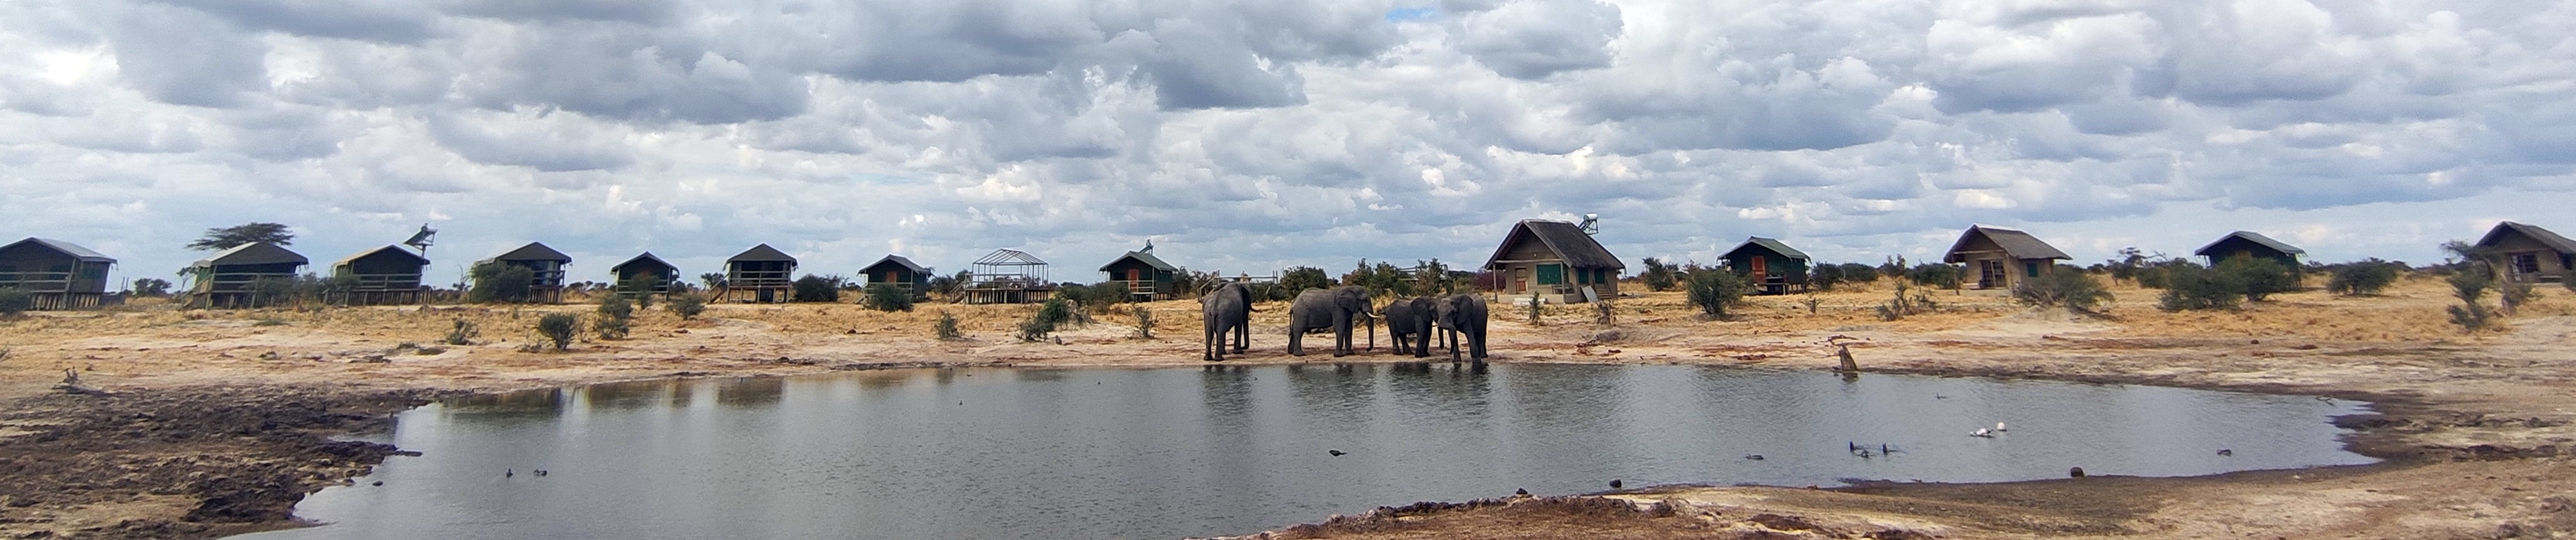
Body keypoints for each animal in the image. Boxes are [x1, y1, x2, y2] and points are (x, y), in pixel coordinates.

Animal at [1201, 282, 1254, 361]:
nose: (1244, 347)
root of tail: (1214, 308)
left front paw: (1225, 353)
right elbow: (1238, 326)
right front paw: (1239, 352)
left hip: (1208, 315)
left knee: (1210, 334)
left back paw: (1208, 359)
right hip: (1220, 314)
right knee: (1220, 332)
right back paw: (1219, 359)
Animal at [1287, 286, 1377, 357]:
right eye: (1365, 300)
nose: (1367, 350)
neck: (1350, 288)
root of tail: (1293, 303)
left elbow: (1349, 328)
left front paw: (1350, 353)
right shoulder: (1338, 308)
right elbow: (1340, 328)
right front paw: (1339, 355)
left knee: (1294, 331)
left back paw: (1291, 353)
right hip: (1301, 314)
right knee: (1299, 331)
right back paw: (1300, 355)